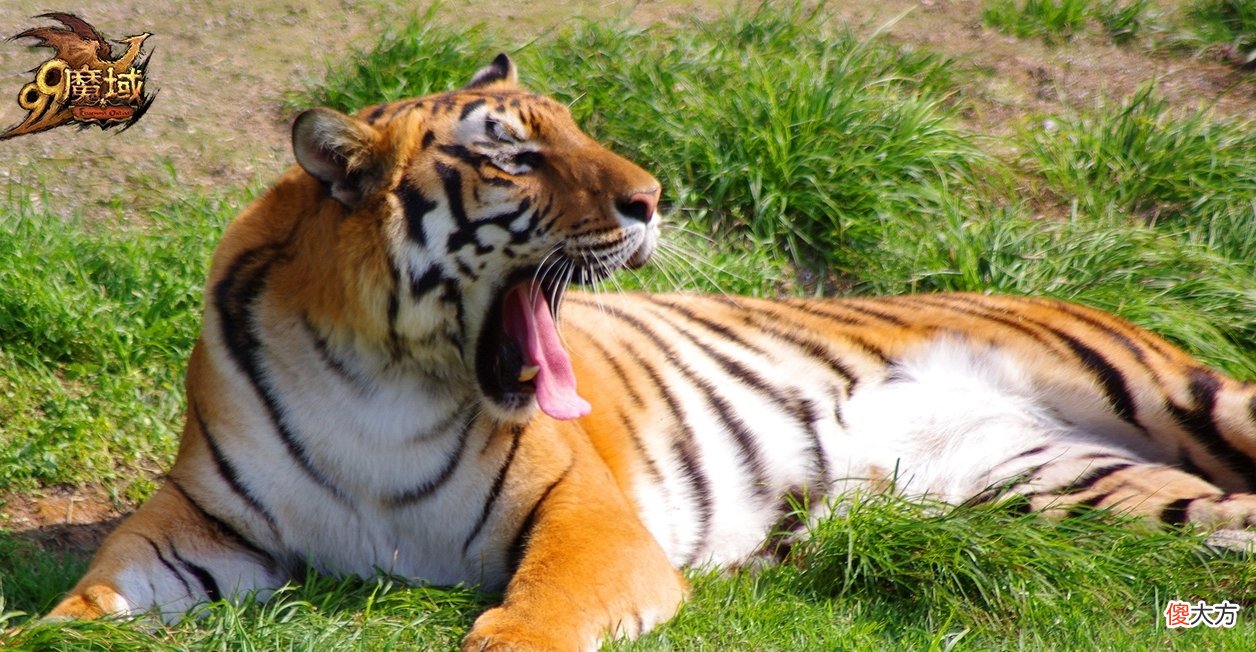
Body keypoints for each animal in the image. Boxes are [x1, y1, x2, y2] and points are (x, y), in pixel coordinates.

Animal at [44, 53, 1256, 651]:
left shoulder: (588, 519)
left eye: (575, 129)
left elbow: (524, 626)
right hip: (1076, 492)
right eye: (516, 157)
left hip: (1180, 396)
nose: (655, 197)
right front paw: (52, 629)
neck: (376, 375)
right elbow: (86, 598)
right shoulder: (204, 524)